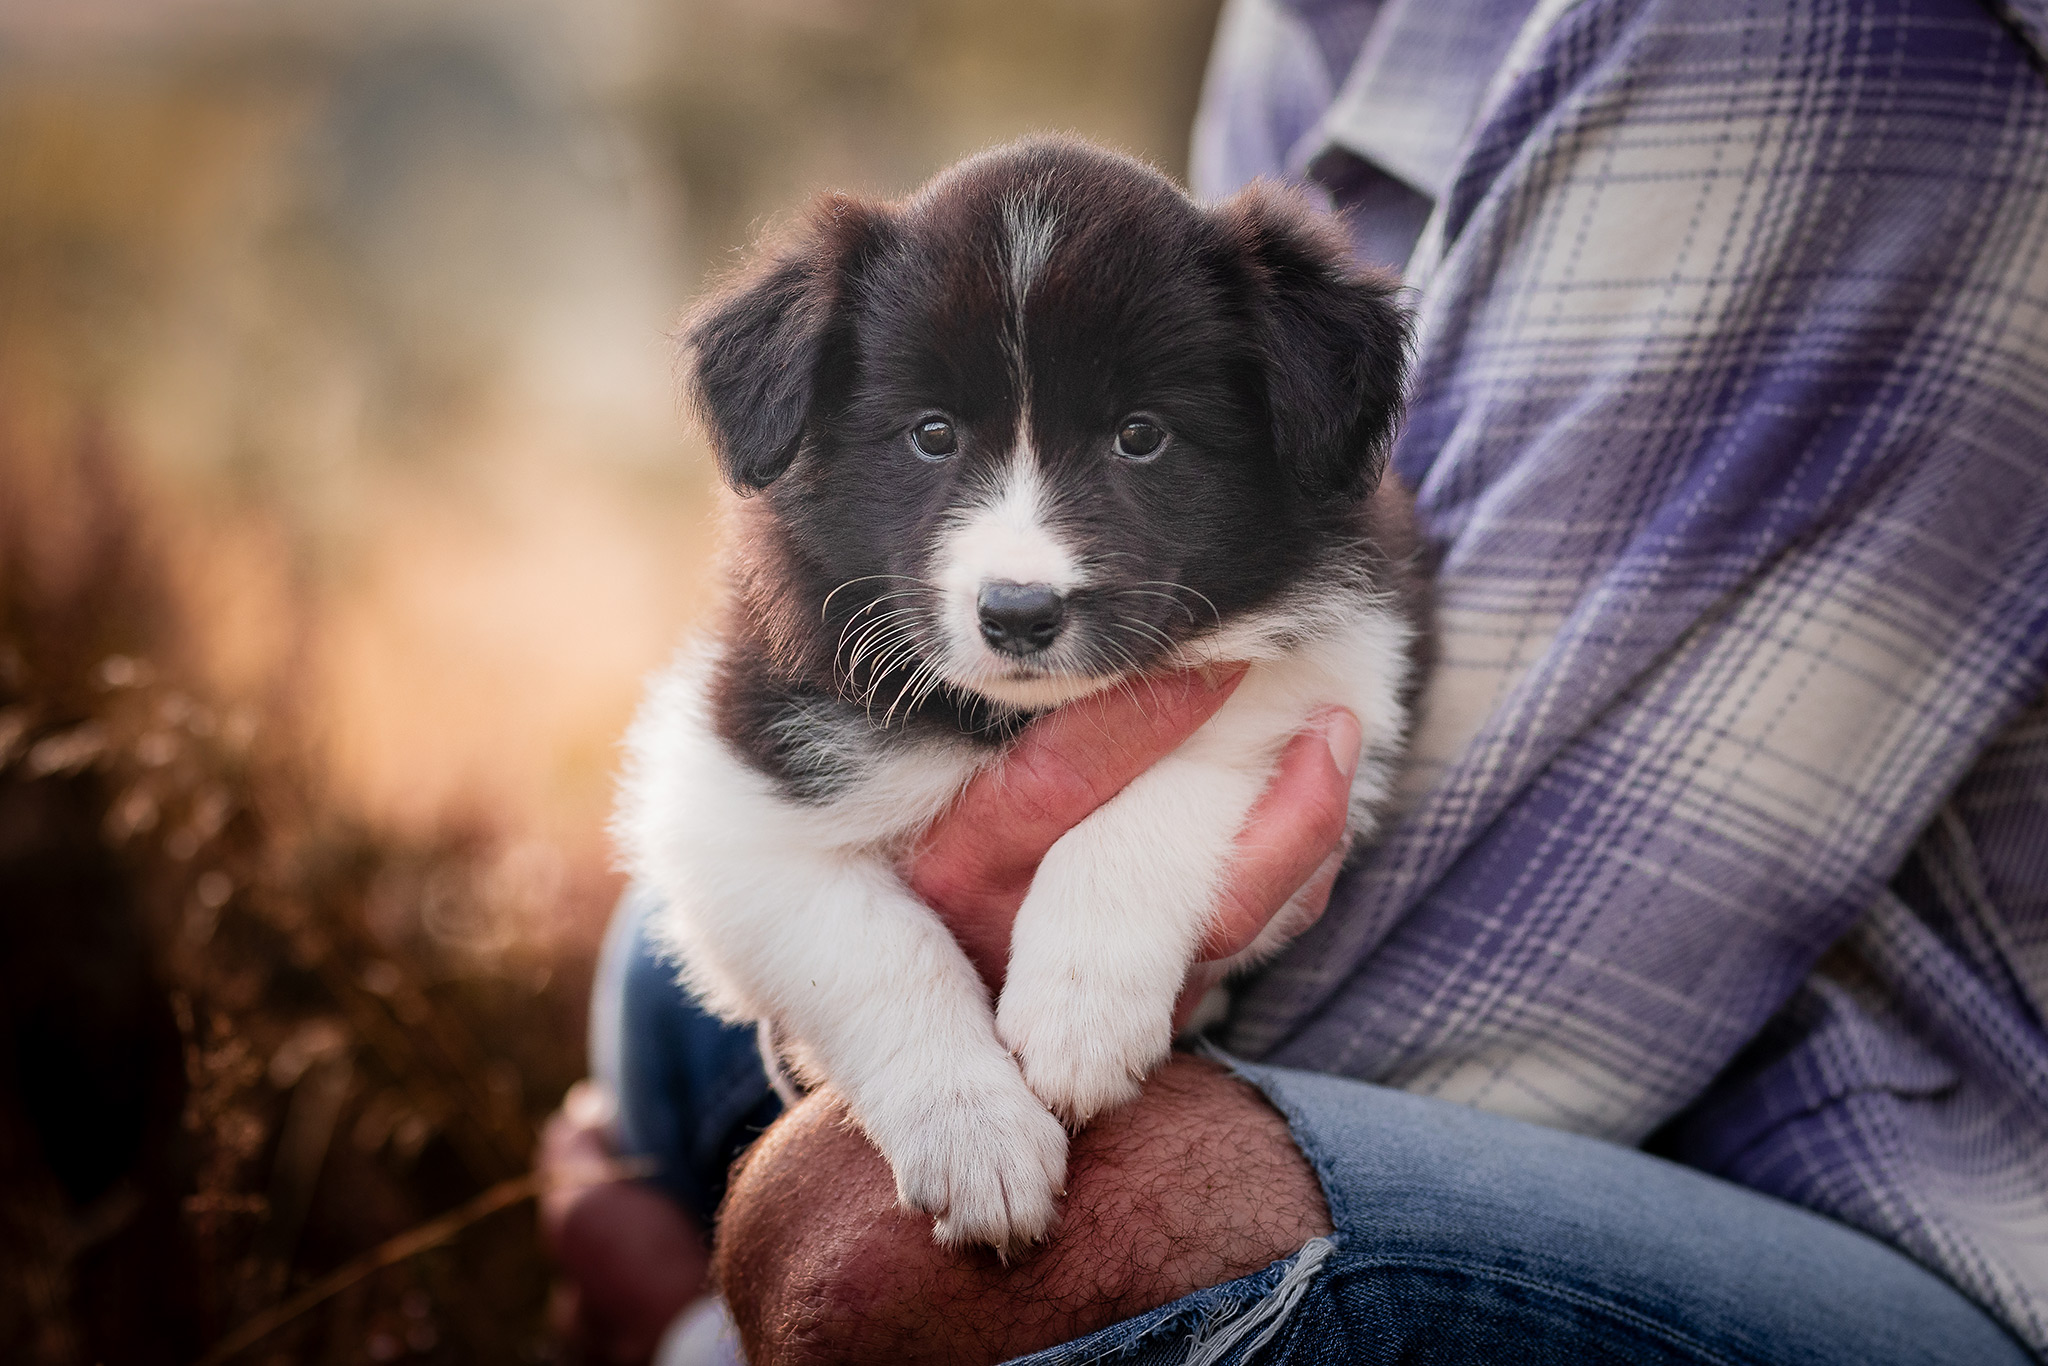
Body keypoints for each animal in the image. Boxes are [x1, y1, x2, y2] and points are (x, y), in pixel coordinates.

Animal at [622, 136, 1417, 1253]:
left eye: (1141, 434)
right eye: (931, 433)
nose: (1018, 611)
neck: (1011, 714)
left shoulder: (1330, 678)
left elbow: (1174, 772)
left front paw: (1076, 1011)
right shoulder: (727, 802)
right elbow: (875, 949)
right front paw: (976, 1137)